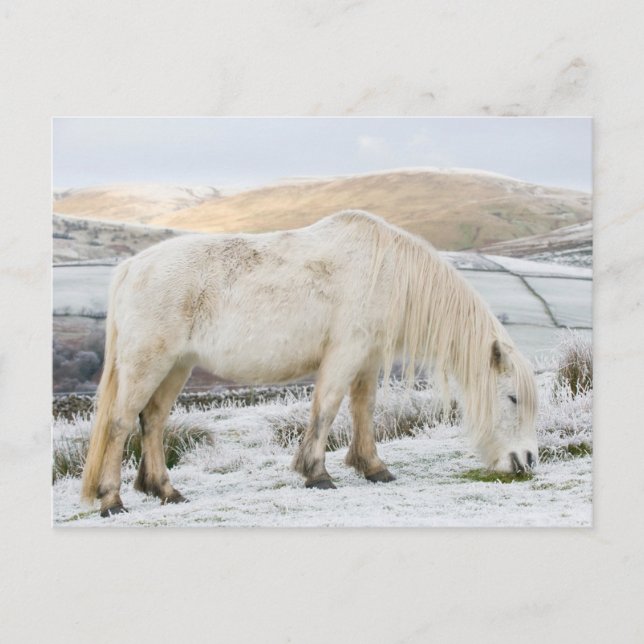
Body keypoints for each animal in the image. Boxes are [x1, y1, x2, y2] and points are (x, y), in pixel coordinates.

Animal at [81, 210, 538, 517]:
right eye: (513, 398)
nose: (528, 460)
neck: (387, 270)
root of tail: (130, 267)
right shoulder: (346, 352)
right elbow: (327, 408)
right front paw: (317, 473)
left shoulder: (367, 358)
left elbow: (363, 409)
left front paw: (373, 467)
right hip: (148, 363)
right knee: (120, 424)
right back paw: (112, 499)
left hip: (177, 366)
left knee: (153, 421)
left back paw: (166, 491)